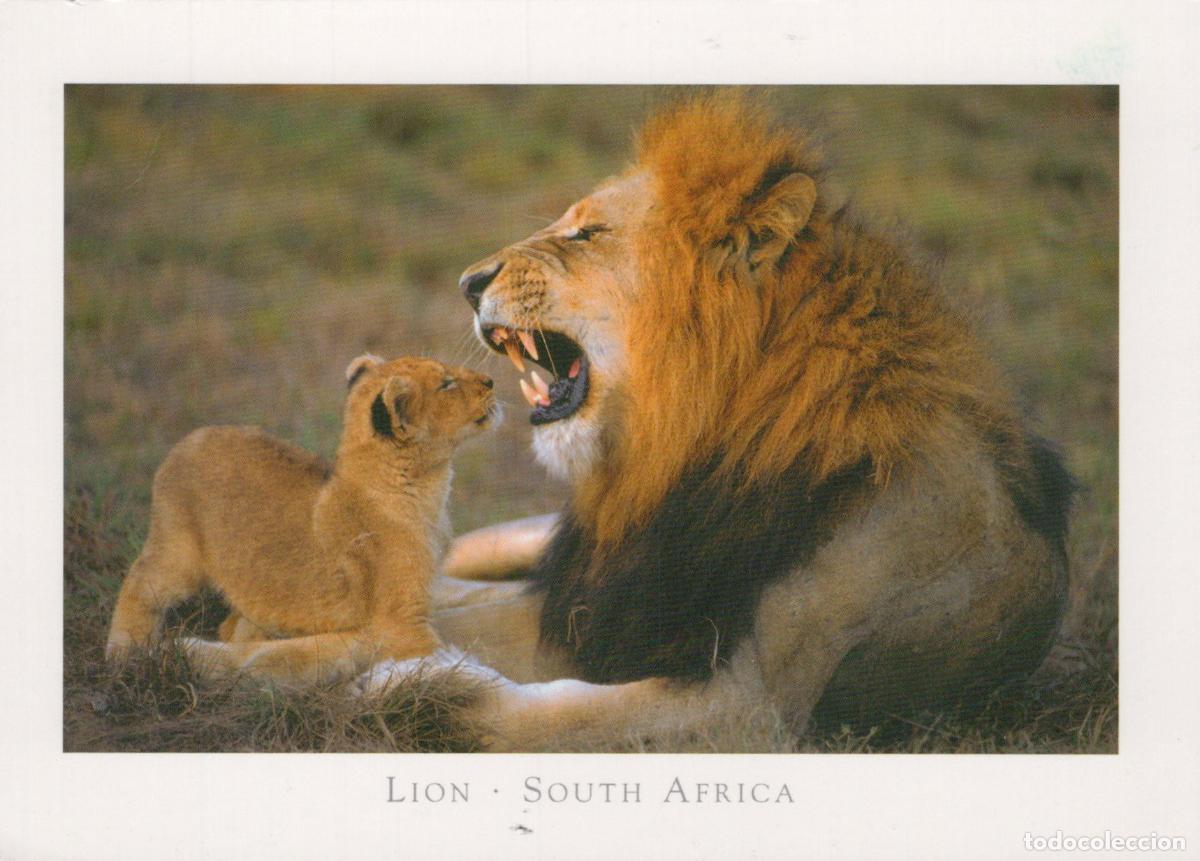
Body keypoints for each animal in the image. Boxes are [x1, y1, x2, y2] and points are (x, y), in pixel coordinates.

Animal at [105, 354, 498, 687]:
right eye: (446, 383)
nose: (491, 381)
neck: (425, 486)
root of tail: (191, 437)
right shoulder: (401, 623)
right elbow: (445, 654)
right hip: (178, 553)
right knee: (140, 583)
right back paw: (123, 651)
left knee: (233, 625)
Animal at [365, 95, 1074, 752]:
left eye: (588, 234)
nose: (468, 282)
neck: (701, 444)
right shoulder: (592, 609)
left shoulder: (748, 704)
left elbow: (506, 715)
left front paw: (406, 684)